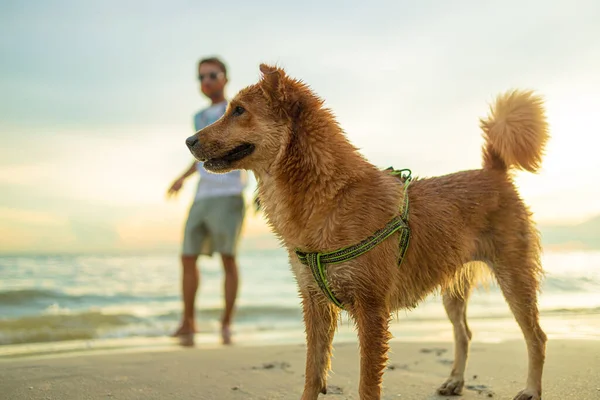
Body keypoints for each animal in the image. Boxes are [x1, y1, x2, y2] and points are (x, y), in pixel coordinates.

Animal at [186, 64, 548, 400]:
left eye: (239, 110)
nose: (189, 140)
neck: (329, 195)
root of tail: (494, 171)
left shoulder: (372, 308)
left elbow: (367, 383)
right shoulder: (315, 303)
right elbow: (313, 371)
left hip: (514, 276)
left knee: (536, 337)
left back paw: (531, 389)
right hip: (452, 287)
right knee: (464, 333)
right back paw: (455, 381)